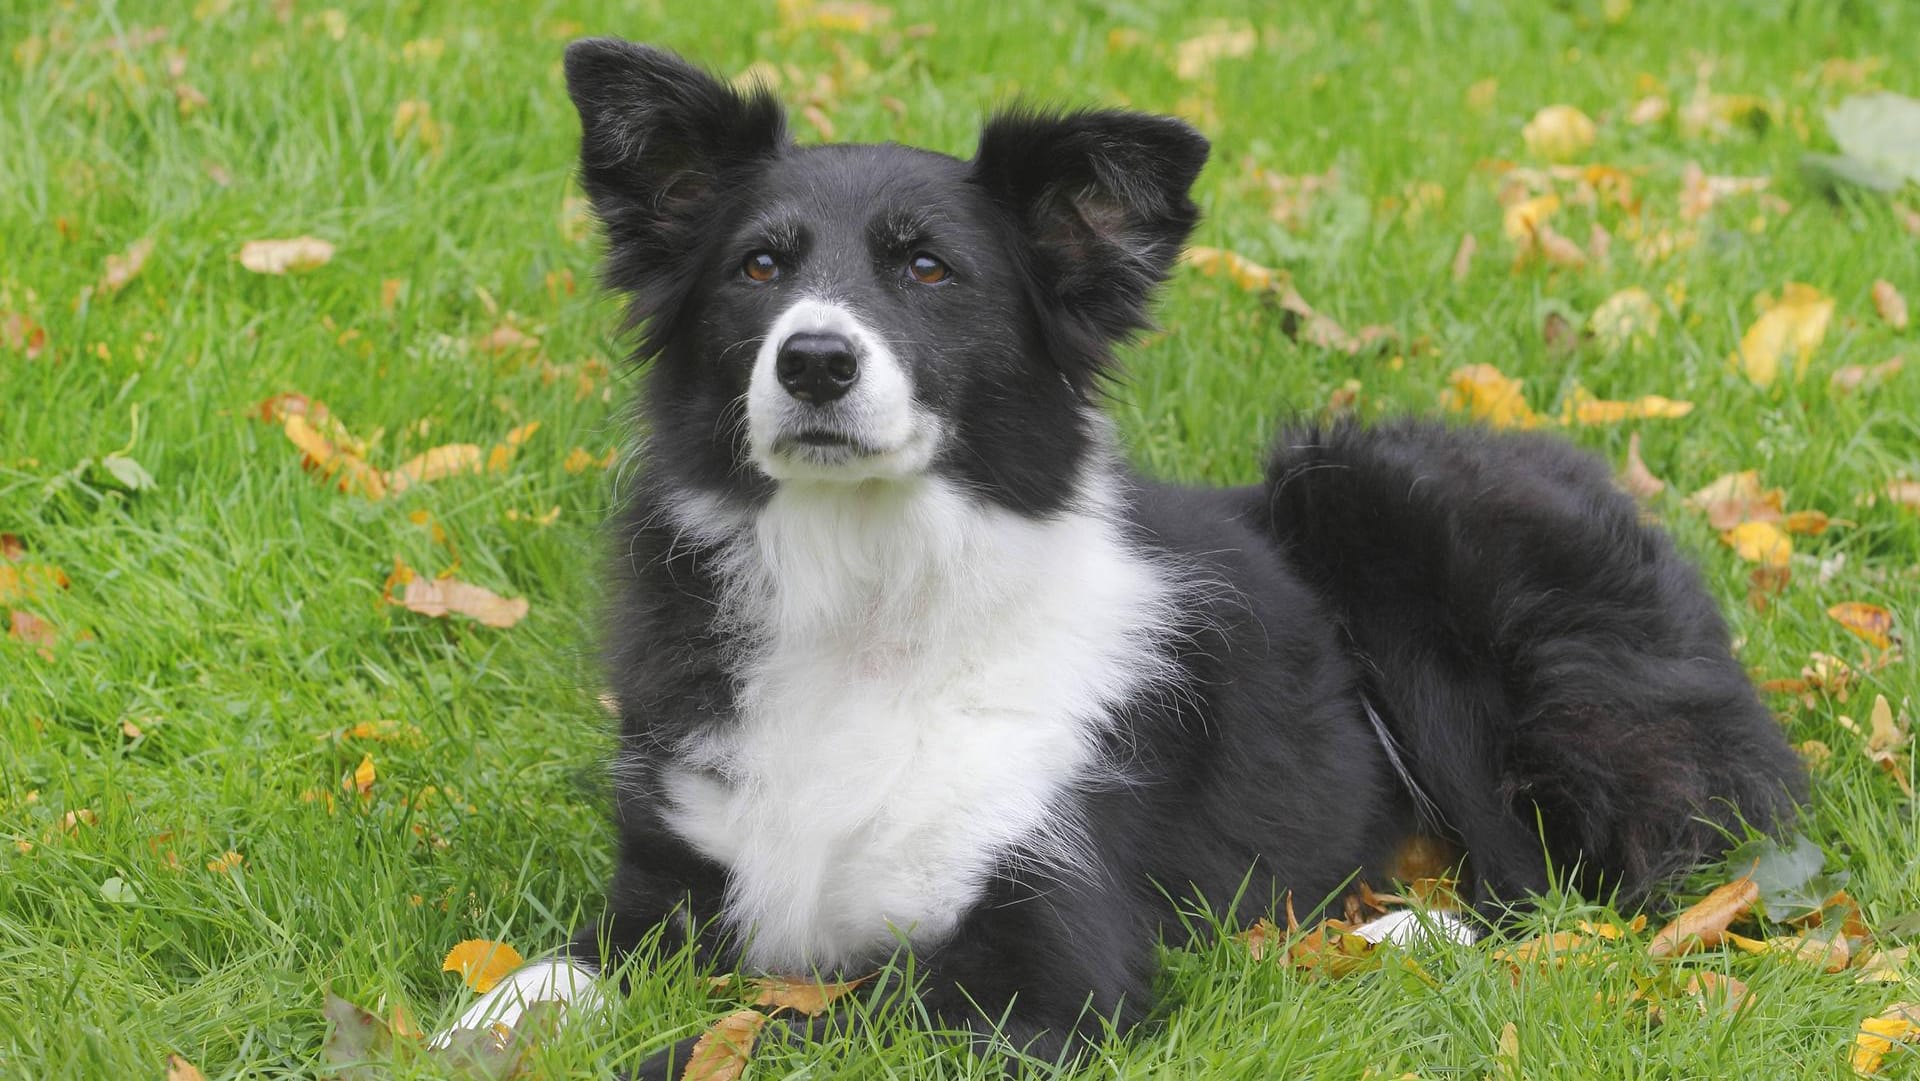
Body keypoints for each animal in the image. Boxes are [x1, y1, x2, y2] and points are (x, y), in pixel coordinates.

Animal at [441, 40, 1804, 1075]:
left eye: (929, 268)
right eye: (758, 265)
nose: (815, 360)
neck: (877, 593)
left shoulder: (1042, 967)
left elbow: (771, 1041)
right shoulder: (673, 888)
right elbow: (551, 972)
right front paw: (479, 1022)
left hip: (1381, 508)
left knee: (1549, 894)